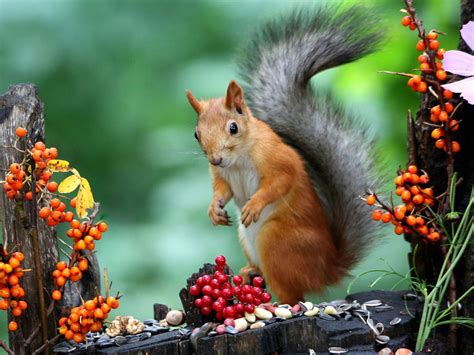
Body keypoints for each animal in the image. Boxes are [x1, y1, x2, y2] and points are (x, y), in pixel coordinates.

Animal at [185, 2, 382, 304]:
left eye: (233, 127)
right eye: (197, 134)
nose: (215, 159)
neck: (238, 160)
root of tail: (327, 268)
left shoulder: (278, 158)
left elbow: (280, 181)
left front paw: (254, 204)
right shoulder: (222, 175)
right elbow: (222, 190)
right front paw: (214, 209)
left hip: (277, 242)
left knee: (293, 294)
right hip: (248, 239)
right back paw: (249, 271)